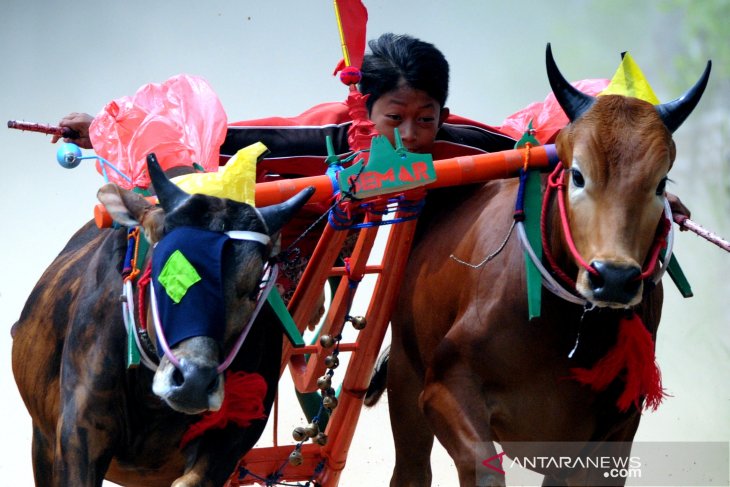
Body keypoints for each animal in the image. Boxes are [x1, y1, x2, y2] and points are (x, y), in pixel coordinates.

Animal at [10, 156, 312, 487]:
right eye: (167, 270)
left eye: (251, 287)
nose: (194, 382)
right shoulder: (79, 433)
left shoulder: (230, 440)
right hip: (41, 440)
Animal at [366, 43, 708, 486]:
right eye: (578, 175)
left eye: (661, 183)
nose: (614, 278)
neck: (565, 329)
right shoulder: (442, 388)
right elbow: (484, 468)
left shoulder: (611, 436)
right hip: (406, 381)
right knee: (411, 471)